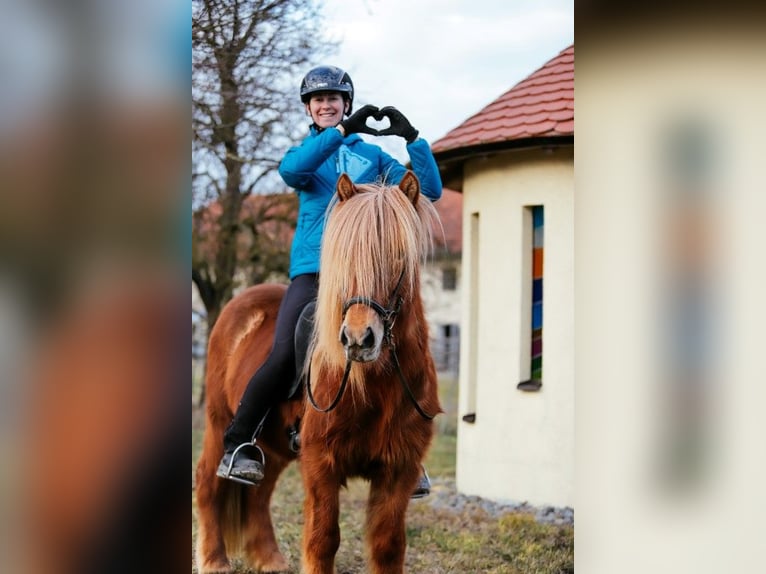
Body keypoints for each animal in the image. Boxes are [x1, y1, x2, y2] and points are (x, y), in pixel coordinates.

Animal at [194, 171, 444, 574]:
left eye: (399, 256)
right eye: (343, 259)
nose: (358, 338)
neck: (376, 385)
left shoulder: (398, 470)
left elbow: (388, 546)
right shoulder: (321, 463)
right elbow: (323, 539)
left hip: (274, 445)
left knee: (260, 494)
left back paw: (270, 559)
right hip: (219, 421)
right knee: (207, 484)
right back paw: (215, 560)